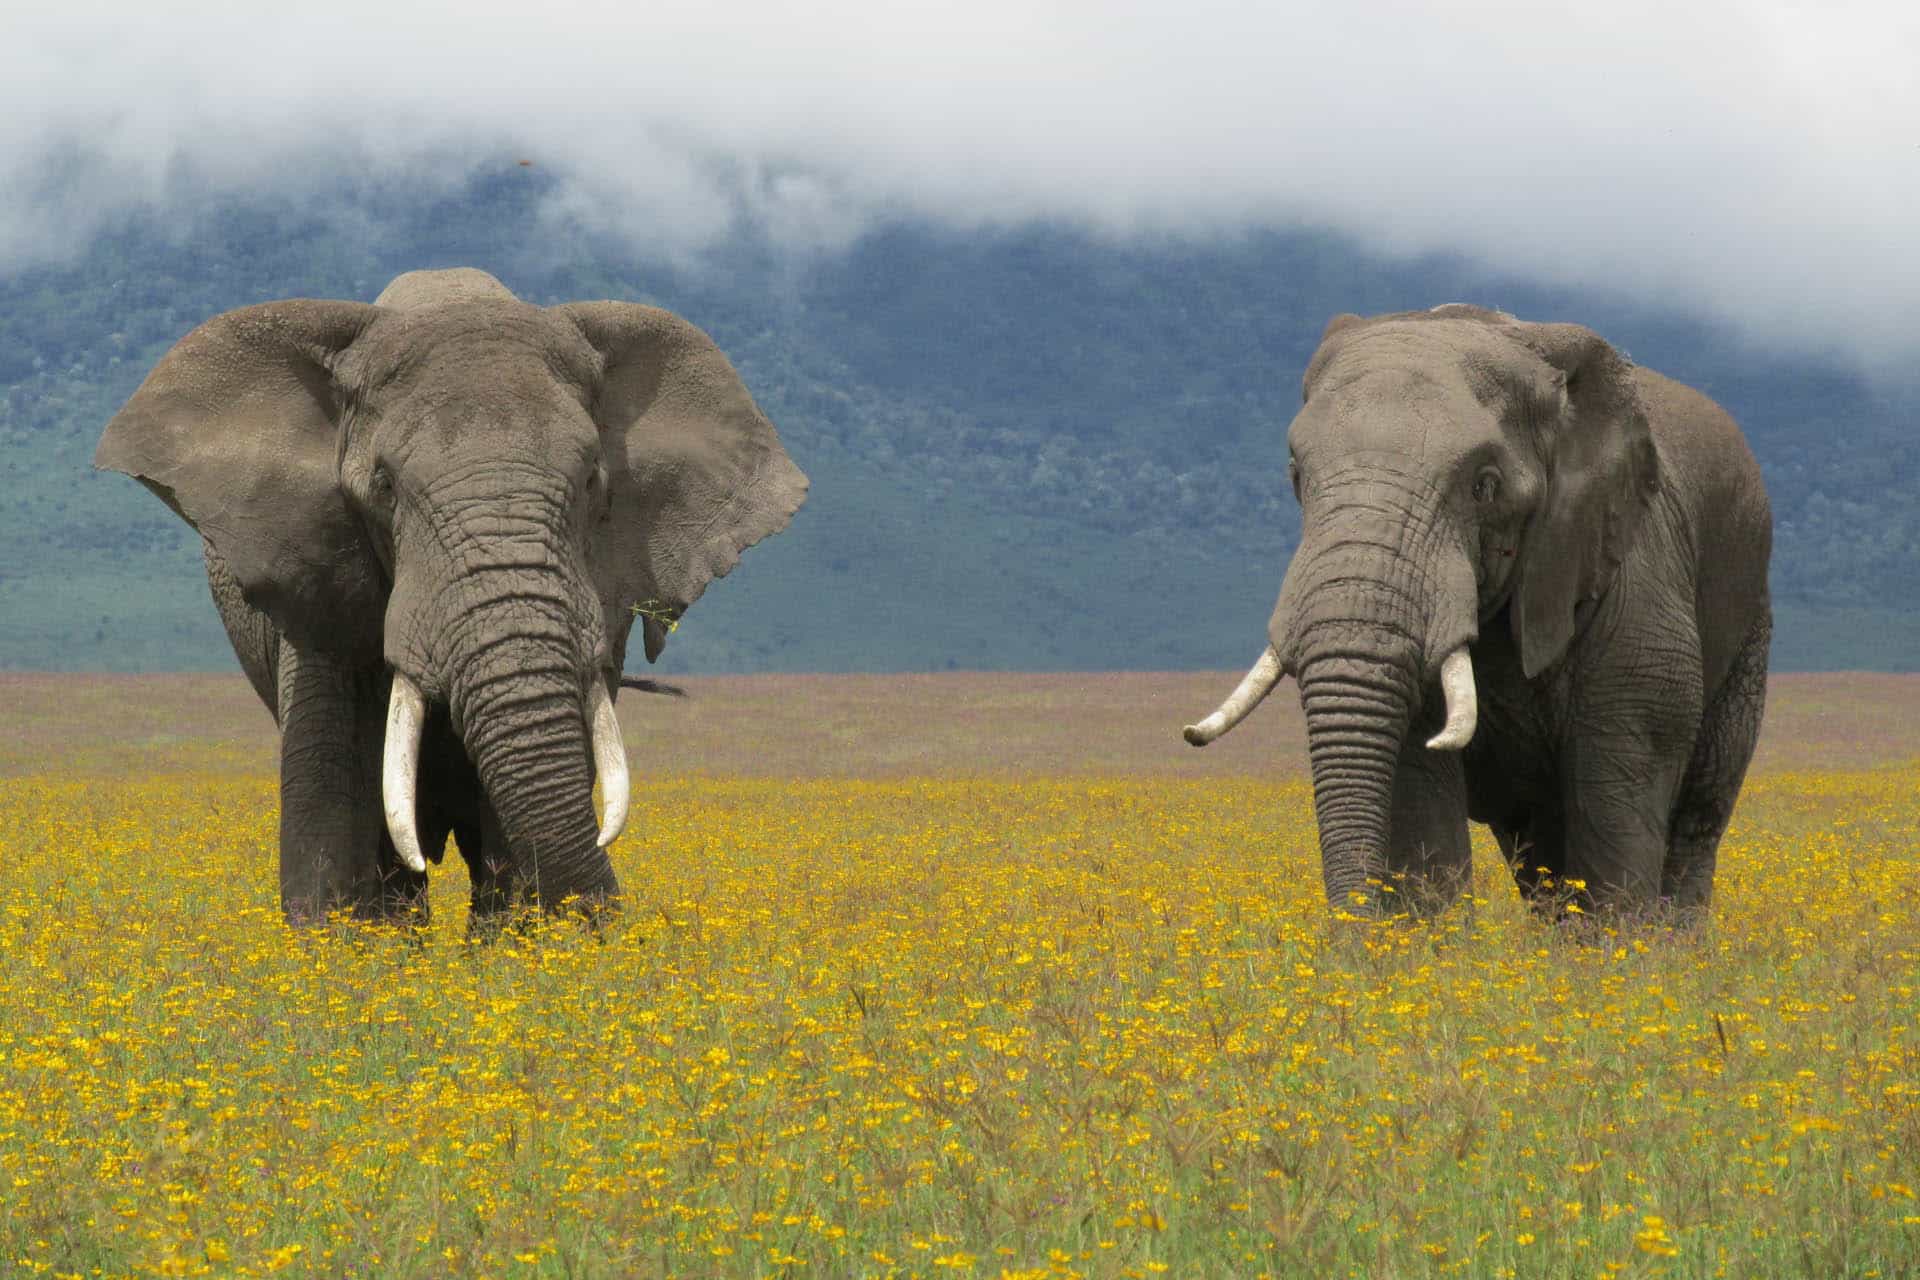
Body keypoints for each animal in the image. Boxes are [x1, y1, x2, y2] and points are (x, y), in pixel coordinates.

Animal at [1183, 304, 1771, 919]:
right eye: (1296, 474)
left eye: (1484, 487)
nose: (1353, 935)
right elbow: (1421, 804)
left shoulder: (1637, 592)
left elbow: (1620, 798)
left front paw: (1624, 945)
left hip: (1749, 622)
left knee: (1696, 818)